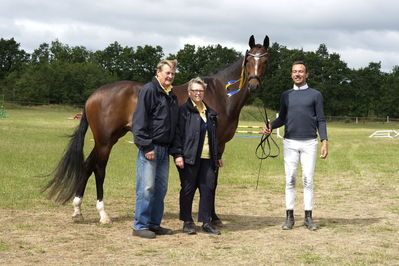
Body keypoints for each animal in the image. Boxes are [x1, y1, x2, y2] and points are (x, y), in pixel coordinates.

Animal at [43, 34, 270, 223]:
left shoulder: (217, 145)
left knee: (87, 165)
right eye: (249, 60)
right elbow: (210, 181)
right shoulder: (214, 143)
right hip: (105, 142)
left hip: (105, 140)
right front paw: (211, 217)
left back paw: (77, 210)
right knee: (98, 169)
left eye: (265, 60)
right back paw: (103, 214)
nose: (254, 86)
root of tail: (94, 95)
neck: (219, 94)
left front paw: (211, 216)